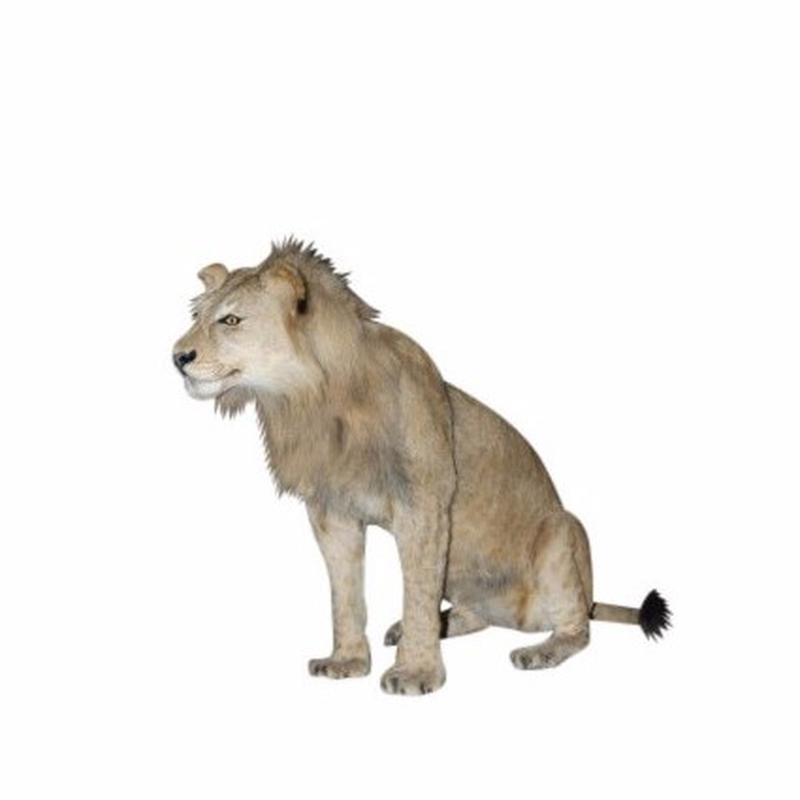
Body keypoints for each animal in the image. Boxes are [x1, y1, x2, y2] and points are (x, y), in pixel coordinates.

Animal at [172, 238, 670, 695]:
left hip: (563, 531)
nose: (178, 357)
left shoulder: (424, 504)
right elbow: (345, 594)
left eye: (230, 320)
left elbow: (416, 589)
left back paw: (538, 651)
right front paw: (347, 661)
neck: (311, 400)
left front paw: (414, 674)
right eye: (196, 317)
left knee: (578, 627)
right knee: (476, 614)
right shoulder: (332, 512)